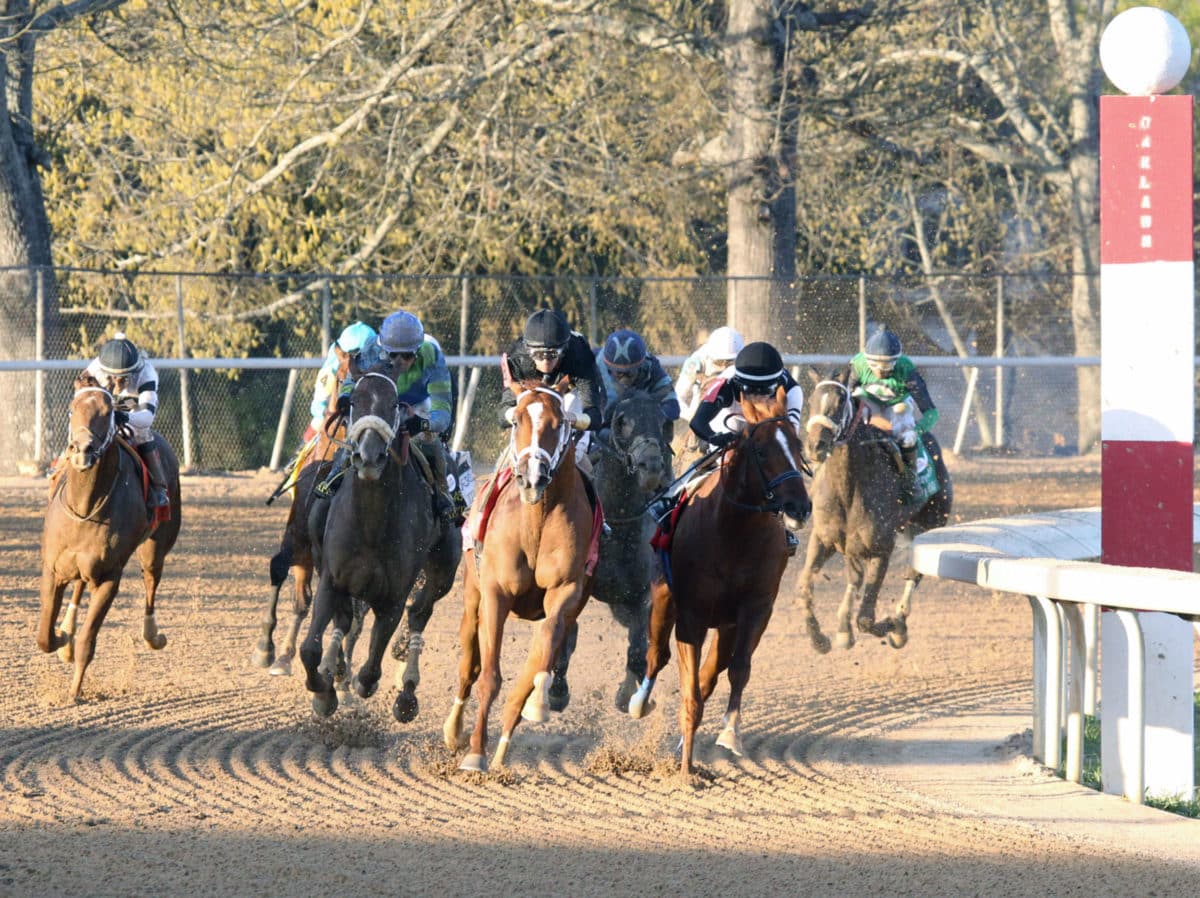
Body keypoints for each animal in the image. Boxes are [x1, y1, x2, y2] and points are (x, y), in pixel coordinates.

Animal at [37, 372, 181, 701]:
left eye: (107, 413)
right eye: (72, 408)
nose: (82, 449)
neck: (85, 504)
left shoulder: (109, 577)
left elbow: (87, 641)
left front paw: (74, 692)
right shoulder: (53, 569)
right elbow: (44, 636)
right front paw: (62, 637)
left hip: (157, 546)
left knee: (151, 581)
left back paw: (153, 635)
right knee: (79, 585)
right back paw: (67, 629)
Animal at [300, 367, 463, 720]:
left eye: (393, 404)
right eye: (353, 402)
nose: (369, 457)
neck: (371, 526)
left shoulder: (393, 597)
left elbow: (371, 670)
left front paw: (359, 684)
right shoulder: (332, 580)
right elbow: (310, 649)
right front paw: (324, 691)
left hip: (443, 571)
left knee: (419, 614)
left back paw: (407, 693)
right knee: (345, 621)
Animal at [444, 379, 597, 773]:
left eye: (560, 423)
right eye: (516, 421)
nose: (532, 477)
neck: (537, 520)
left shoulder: (565, 594)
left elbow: (536, 668)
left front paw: (529, 712)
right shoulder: (496, 593)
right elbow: (488, 677)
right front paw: (475, 752)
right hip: (472, 596)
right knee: (468, 664)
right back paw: (454, 729)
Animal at [628, 386, 806, 777]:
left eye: (798, 445)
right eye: (761, 450)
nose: (799, 507)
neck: (734, 532)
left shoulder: (756, 609)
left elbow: (737, 670)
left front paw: (729, 734)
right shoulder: (691, 616)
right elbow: (688, 688)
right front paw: (685, 773)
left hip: (726, 626)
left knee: (711, 674)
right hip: (663, 600)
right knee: (656, 656)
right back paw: (640, 703)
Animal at [796, 364, 955, 653]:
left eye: (841, 402)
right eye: (812, 400)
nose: (815, 446)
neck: (847, 489)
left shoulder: (881, 549)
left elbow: (866, 619)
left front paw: (892, 625)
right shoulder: (823, 539)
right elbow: (804, 587)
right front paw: (819, 639)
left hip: (929, 524)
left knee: (912, 576)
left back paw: (898, 624)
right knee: (854, 578)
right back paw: (843, 628)